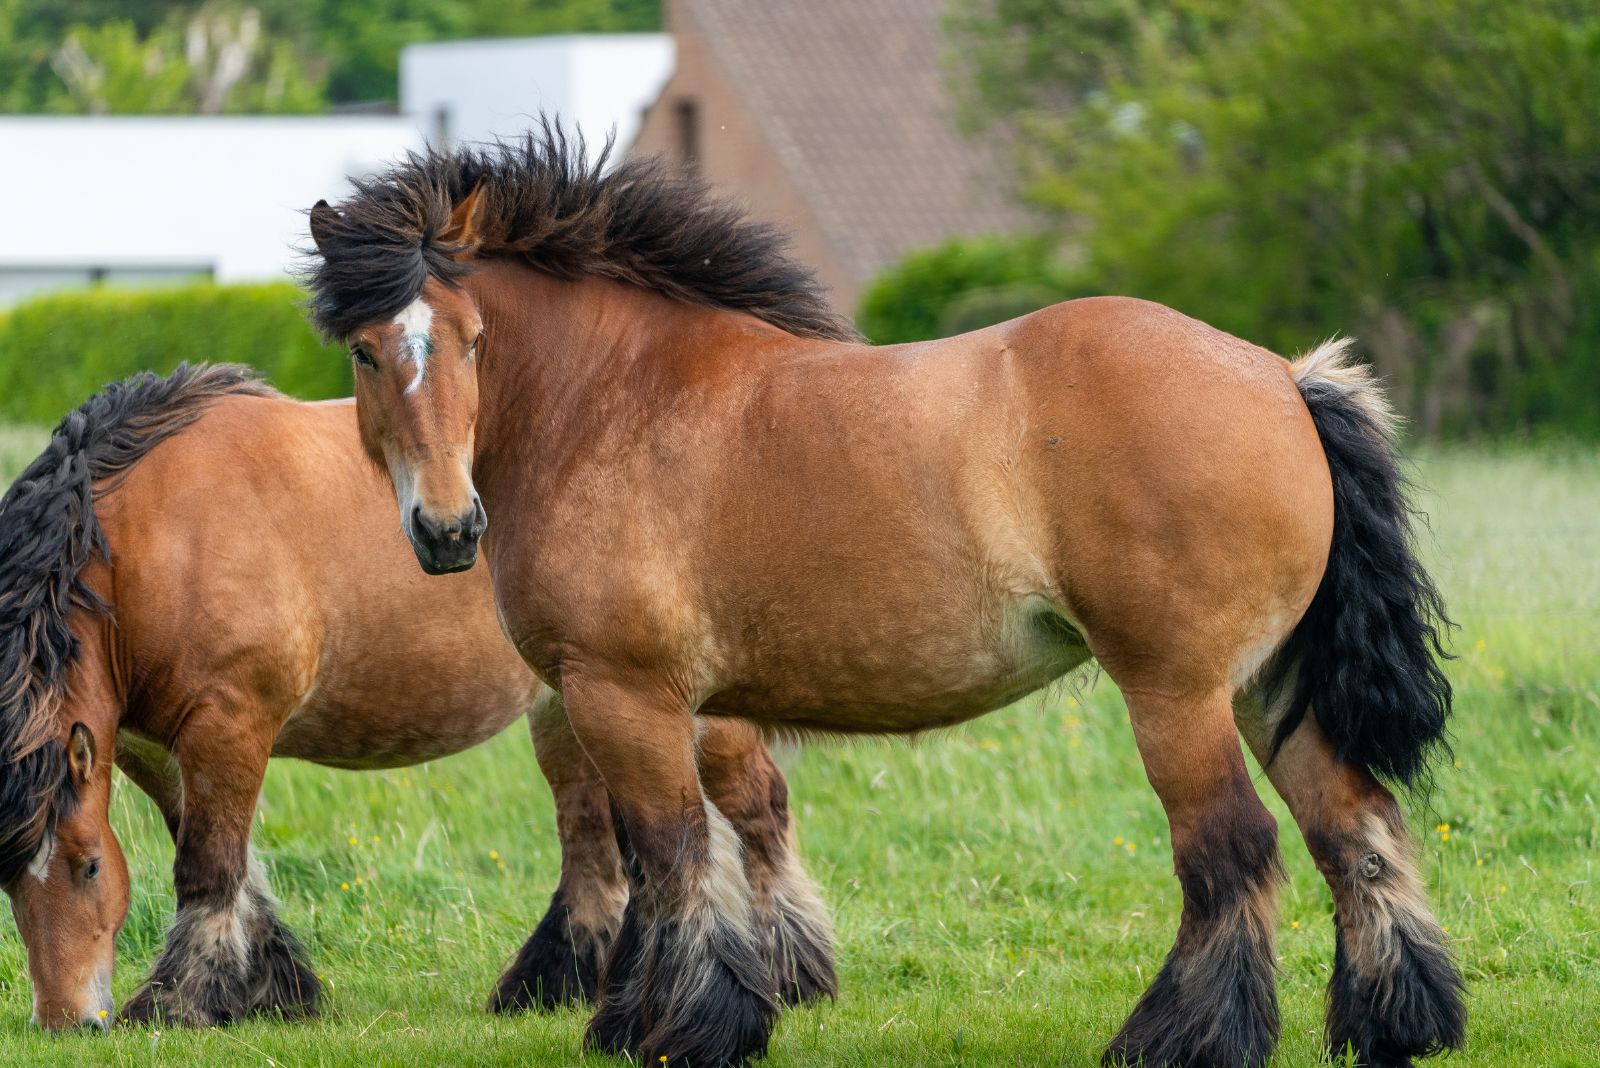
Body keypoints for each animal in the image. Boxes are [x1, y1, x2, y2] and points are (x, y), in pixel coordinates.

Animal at [0, 364, 832, 1023]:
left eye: (88, 867)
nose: (66, 1022)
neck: (158, 536)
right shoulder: (152, 744)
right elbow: (229, 865)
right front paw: (274, 989)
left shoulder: (229, 723)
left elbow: (207, 866)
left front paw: (179, 1003)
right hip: (572, 710)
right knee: (595, 844)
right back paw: (558, 984)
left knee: (757, 807)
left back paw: (796, 973)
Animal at [305, 131, 1465, 1068]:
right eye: (366, 350)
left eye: (470, 340)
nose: (446, 531)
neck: (611, 402)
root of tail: (1281, 378)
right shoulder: (669, 706)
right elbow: (677, 854)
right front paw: (642, 1019)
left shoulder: (620, 695)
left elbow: (670, 856)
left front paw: (690, 1028)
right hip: (1269, 688)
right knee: (1351, 827)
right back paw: (1395, 1022)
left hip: (1177, 695)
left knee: (1231, 852)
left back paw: (1182, 1037)